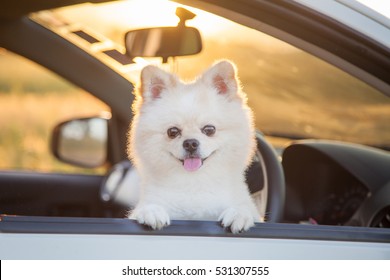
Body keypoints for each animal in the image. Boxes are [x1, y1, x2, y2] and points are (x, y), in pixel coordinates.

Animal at [129, 60, 262, 233]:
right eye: (172, 132)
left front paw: (238, 213)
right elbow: (147, 207)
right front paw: (152, 210)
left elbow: (244, 209)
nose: (190, 143)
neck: (194, 182)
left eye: (209, 129)